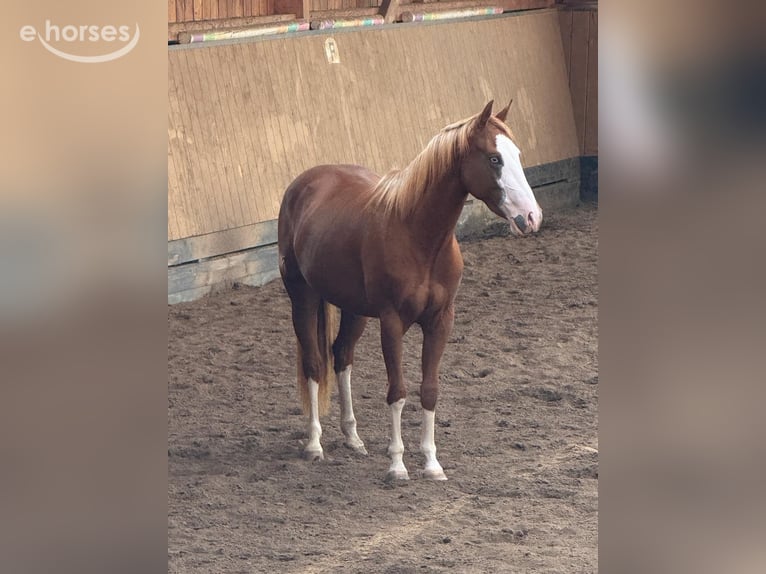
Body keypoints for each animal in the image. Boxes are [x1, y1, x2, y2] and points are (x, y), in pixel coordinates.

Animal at [277, 100, 542, 481]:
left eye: (517, 155)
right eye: (494, 159)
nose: (531, 216)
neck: (418, 236)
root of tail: (302, 184)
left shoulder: (440, 321)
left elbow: (429, 391)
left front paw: (431, 463)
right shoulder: (392, 323)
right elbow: (398, 391)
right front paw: (397, 464)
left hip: (354, 309)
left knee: (341, 356)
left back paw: (353, 438)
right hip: (303, 297)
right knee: (314, 363)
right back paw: (314, 444)